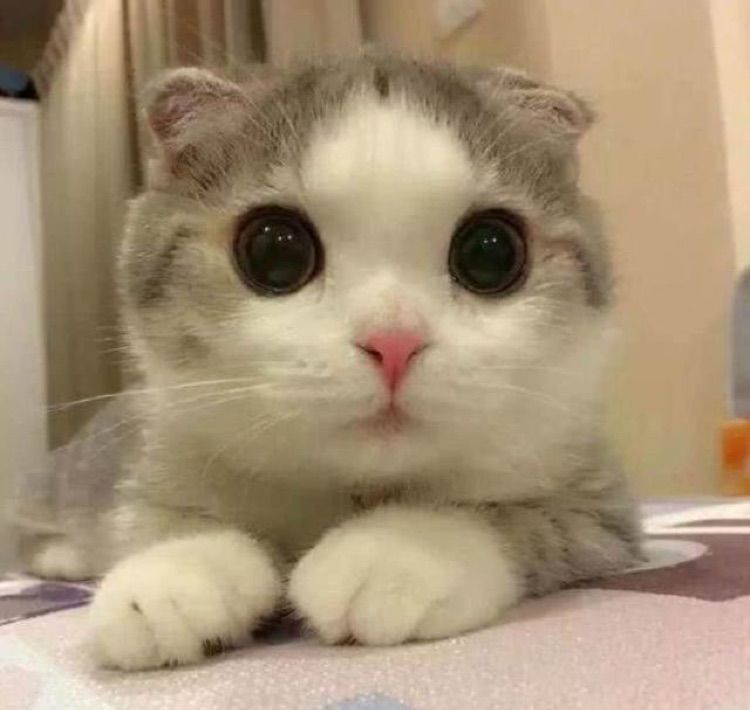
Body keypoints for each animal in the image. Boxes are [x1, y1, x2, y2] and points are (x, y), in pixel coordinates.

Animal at [20, 53, 641, 671]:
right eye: (275, 250)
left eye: (491, 253)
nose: (393, 341)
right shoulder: (163, 446)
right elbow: (157, 517)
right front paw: (171, 576)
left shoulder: (601, 507)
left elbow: (519, 518)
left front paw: (396, 552)